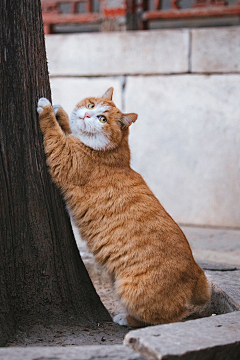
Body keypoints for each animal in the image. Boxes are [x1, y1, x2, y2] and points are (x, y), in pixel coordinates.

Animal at [36, 88, 211, 328]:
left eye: (102, 119)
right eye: (91, 105)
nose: (87, 115)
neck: (113, 153)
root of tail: (196, 272)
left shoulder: (64, 158)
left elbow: (54, 133)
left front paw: (46, 108)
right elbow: (68, 129)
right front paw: (61, 113)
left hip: (130, 290)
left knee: (164, 318)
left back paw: (125, 319)